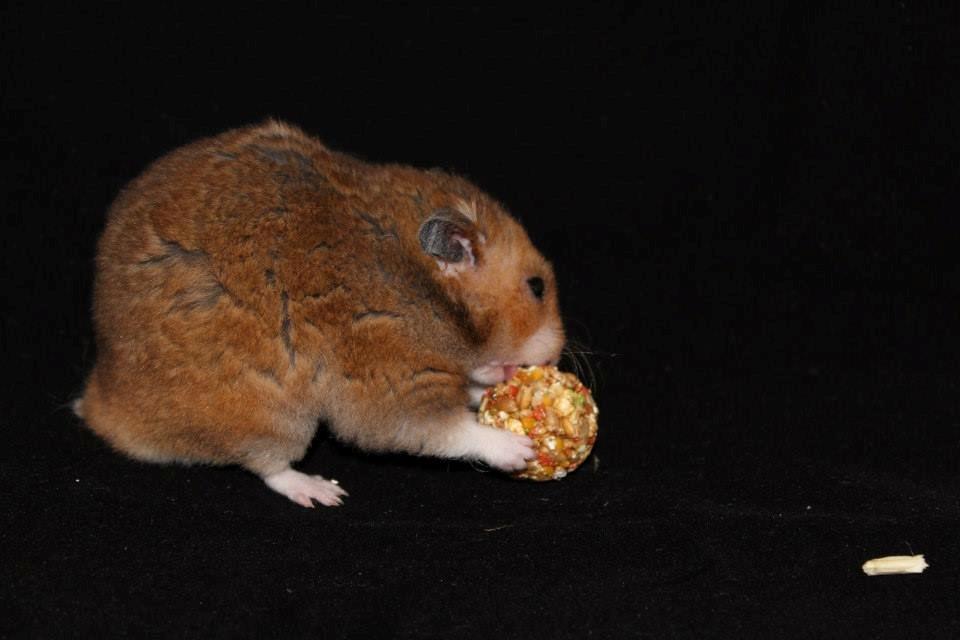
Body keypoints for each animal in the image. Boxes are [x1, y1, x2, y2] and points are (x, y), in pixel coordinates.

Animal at [74, 120, 565, 507]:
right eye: (537, 287)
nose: (557, 355)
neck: (426, 295)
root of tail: (104, 402)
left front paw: (489, 389)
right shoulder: (387, 377)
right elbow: (444, 431)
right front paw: (519, 448)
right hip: (275, 417)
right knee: (268, 466)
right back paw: (322, 492)